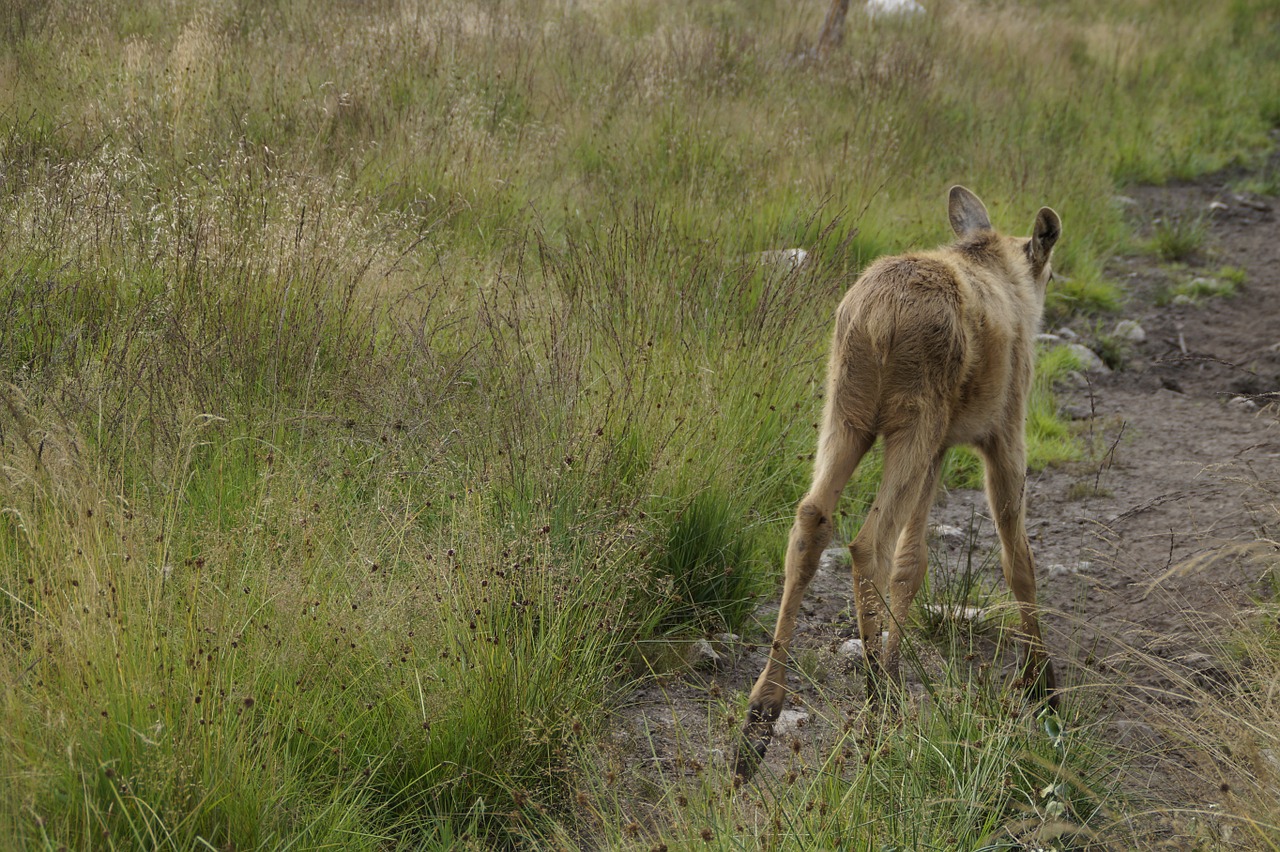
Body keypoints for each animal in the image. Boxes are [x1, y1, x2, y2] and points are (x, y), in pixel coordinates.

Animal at [737, 184, 1064, 777]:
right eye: (1048, 270)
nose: (1048, 285)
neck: (996, 262)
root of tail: (875, 316)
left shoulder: (939, 450)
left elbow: (913, 566)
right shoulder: (1005, 431)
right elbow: (1018, 559)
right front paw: (1042, 687)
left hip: (846, 412)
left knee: (811, 519)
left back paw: (760, 718)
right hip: (914, 420)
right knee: (869, 541)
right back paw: (877, 694)